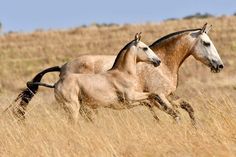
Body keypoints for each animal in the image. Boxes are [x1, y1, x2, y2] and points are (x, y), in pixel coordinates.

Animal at [14, 23, 223, 124]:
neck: (164, 64)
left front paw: (195, 127)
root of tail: (62, 67)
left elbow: (188, 108)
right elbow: (171, 112)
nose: (219, 65)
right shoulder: (160, 96)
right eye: (207, 43)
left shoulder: (169, 96)